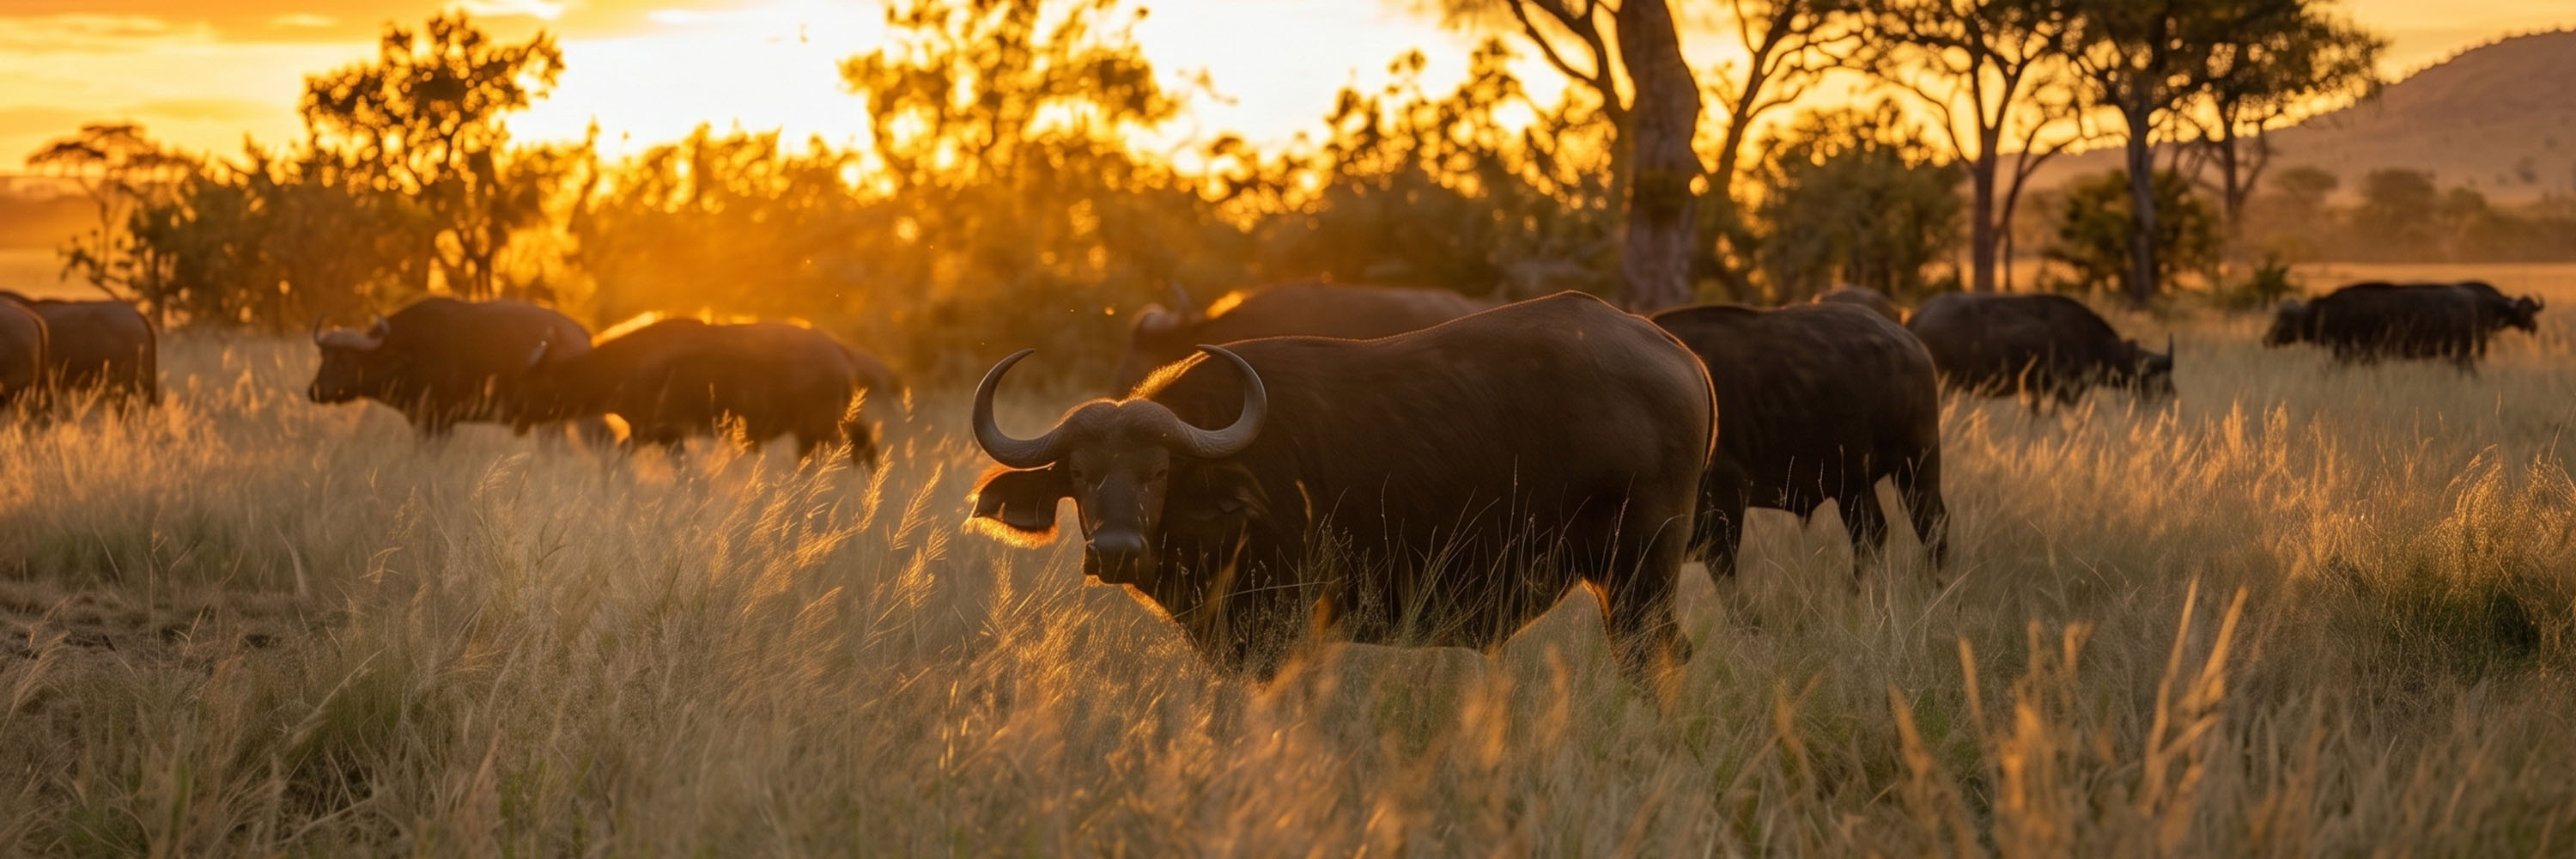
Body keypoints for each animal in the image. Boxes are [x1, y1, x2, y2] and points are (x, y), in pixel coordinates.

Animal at [309, 297, 603, 439]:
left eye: (344, 359)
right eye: (323, 355)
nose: (314, 391)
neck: (407, 351)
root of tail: (580, 332)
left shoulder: (438, 421)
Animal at [519, 317, 891, 467]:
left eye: (537, 383)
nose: (518, 417)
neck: (631, 365)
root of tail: (838, 349)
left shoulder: (665, 435)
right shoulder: (647, 434)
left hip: (818, 431)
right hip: (825, 429)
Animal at [970, 293, 1713, 689]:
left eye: (1158, 472)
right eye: (1080, 474)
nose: (1117, 549)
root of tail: (1681, 356)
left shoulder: (1276, 629)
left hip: (1640, 575)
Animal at [1652, 303, 1946, 582]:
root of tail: (1910, 343)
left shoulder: (1726, 495)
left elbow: (1723, 568)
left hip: (1916, 465)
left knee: (1931, 524)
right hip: (1851, 483)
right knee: (1872, 534)